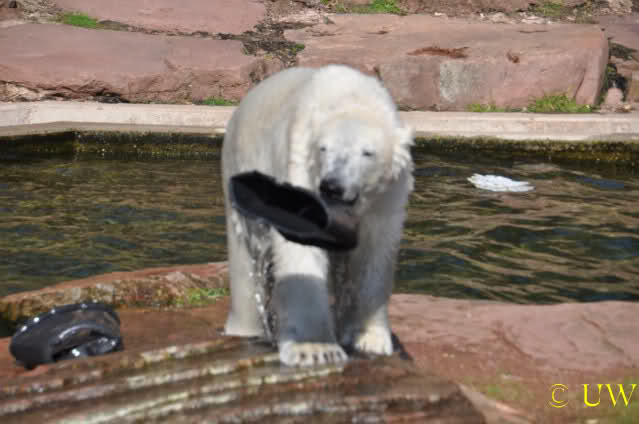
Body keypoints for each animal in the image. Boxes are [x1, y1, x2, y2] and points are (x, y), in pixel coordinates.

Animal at [221, 64, 414, 367]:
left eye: (367, 153)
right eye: (324, 148)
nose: (332, 186)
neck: (351, 97)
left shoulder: (387, 196)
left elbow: (374, 254)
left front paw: (370, 338)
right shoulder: (300, 166)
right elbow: (301, 245)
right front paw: (314, 349)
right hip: (240, 167)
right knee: (245, 260)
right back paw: (244, 329)